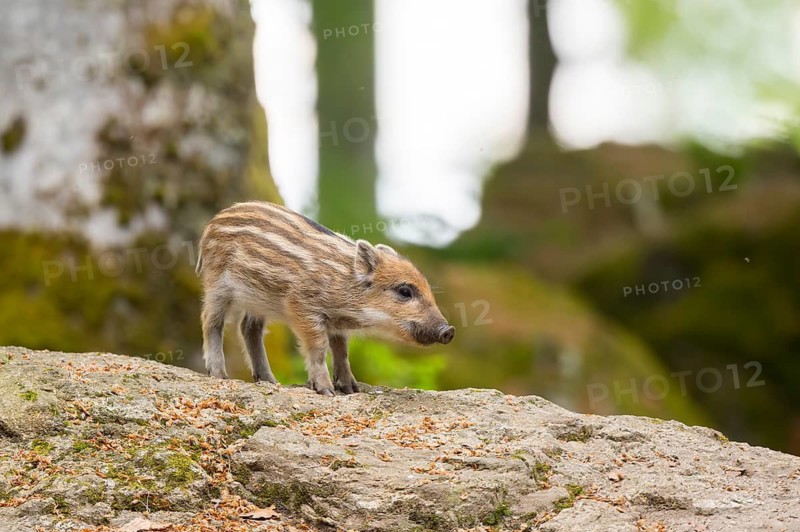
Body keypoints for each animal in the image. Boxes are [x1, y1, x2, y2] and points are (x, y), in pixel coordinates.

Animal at [195, 201, 455, 396]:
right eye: (404, 291)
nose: (449, 330)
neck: (345, 286)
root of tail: (213, 222)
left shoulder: (336, 322)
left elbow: (342, 350)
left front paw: (351, 389)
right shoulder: (302, 307)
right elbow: (319, 348)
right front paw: (326, 390)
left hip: (257, 301)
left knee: (249, 329)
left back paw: (270, 381)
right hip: (217, 285)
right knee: (211, 321)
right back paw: (219, 374)